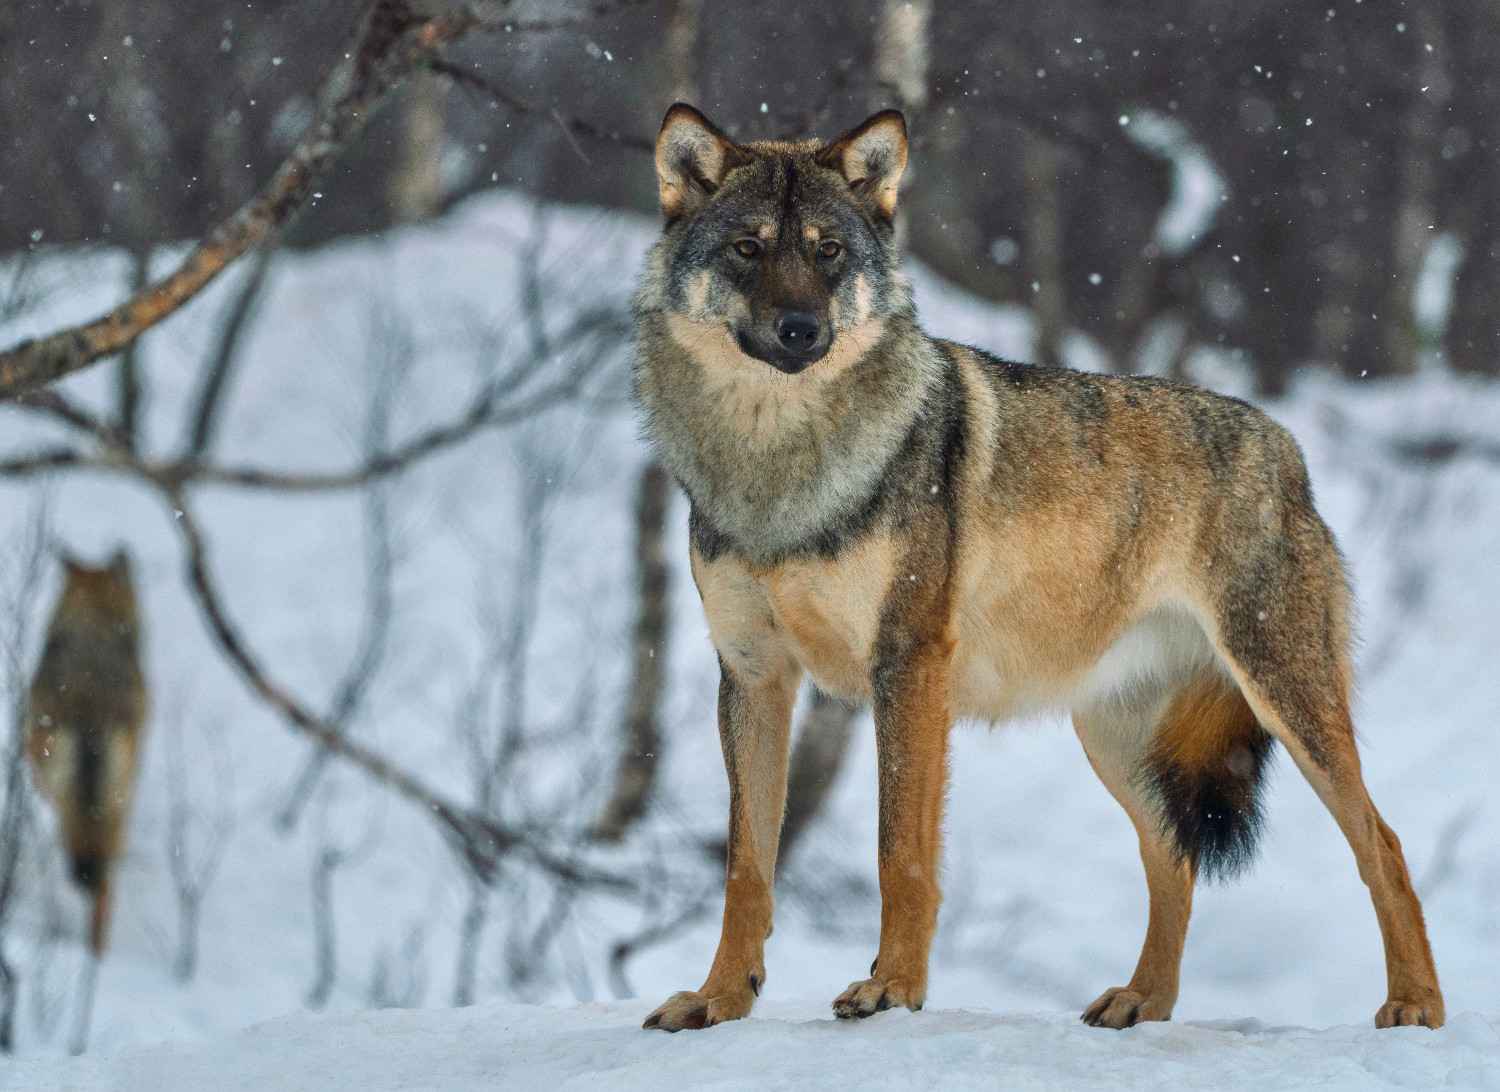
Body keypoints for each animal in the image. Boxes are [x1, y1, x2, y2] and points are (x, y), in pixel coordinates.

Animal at [633, 104, 1444, 1032]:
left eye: (828, 251)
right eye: (749, 248)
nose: (802, 329)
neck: (775, 466)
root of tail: (1286, 446)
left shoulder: (907, 666)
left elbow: (899, 853)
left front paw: (892, 990)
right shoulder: (753, 675)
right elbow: (747, 865)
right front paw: (718, 998)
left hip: (1285, 701)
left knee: (1383, 842)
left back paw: (1415, 1006)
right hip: (1117, 741)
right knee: (1175, 861)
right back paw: (1142, 1002)